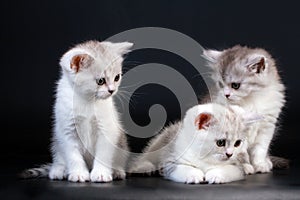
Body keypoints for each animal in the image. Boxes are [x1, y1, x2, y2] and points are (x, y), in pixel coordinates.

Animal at [20, 39, 133, 182]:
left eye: (117, 77)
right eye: (101, 81)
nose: (112, 90)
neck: (87, 100)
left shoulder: (107, 128)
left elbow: (103, 154)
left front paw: (101, 173)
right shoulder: (67, 130)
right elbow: (73, 155)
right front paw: (78, 173)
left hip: (121, 141)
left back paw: (117, 171)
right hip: (56, 140)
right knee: (59, 157)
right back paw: (58, 170)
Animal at [129, 104, 260, 184]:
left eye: (237, 143)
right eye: (220, 142)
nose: (230, 154)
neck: (204, 156)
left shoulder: (236, 165)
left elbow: (229, 168)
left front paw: (216, 175)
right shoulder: (171, 159)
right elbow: (179, 167)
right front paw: (193, 175)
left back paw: (248, 167)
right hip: (163, 140)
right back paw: (144, 167)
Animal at [204, 44, 286, 173]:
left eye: (235, 85)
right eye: (221, 84)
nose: (226, 95)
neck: (251, 101)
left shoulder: (267, 127)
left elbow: (260, 150)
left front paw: (260, 164)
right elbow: (240, 152)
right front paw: (245, 166)